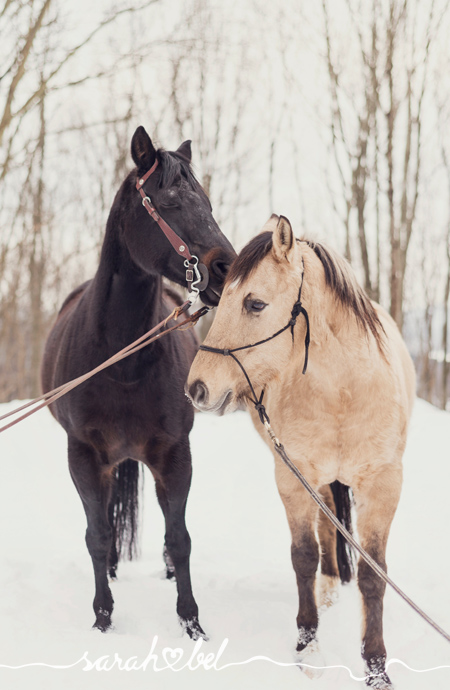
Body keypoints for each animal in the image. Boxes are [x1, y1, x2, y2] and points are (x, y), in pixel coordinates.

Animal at [40, 125, 236, 640]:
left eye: (208, 204)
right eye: (168, 202)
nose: (228, 269)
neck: (121, 362)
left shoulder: (174, 453)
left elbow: (180, 536)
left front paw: (191, 620)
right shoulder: (84, 455)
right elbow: (97, 533)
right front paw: (102, 614)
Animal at [185, 212, 414, 684]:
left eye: (254, 304)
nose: (196, 388)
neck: (344, 393)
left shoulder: (384, 485)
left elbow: (374, 574)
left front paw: (376, 665)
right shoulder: (294, 477)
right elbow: (305, 556)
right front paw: (308, 646)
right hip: (319, 482)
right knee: (327, 532)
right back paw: (327, 591)